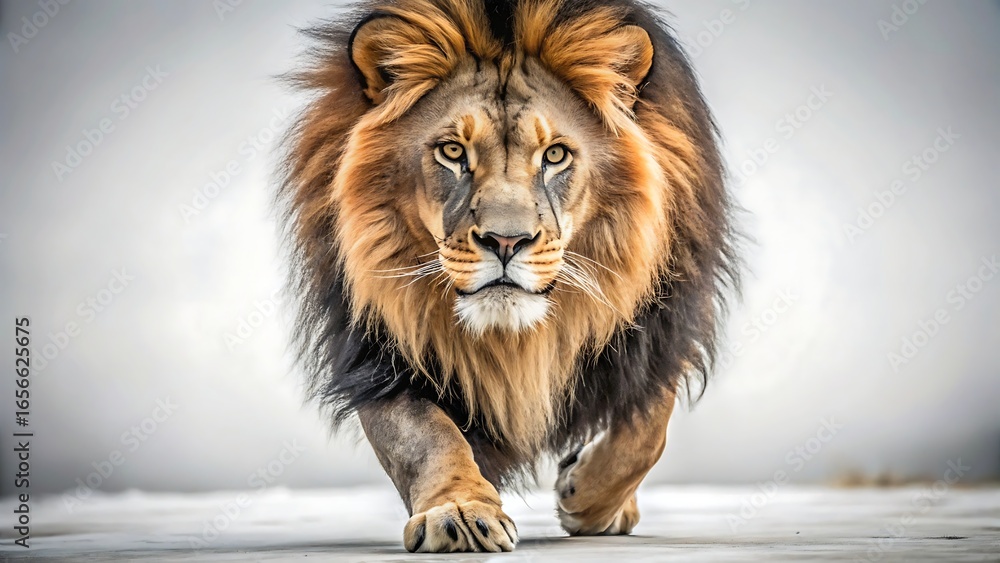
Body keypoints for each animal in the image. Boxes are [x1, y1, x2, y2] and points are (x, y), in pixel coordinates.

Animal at [279, 0, 738, 553]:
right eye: (453, 152)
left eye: (555, 155)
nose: (505, 241)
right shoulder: (379, 349)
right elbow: (423, 434)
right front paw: (458, 509)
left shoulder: (660, 327)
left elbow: (647, 429)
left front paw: (585, 498)